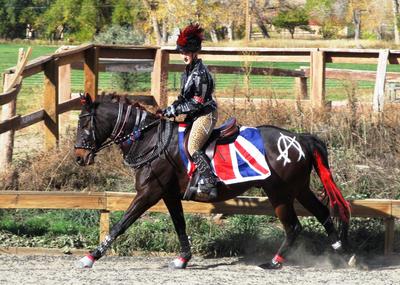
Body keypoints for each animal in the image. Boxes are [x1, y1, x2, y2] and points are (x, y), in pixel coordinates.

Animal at [75, 94, 350, 270]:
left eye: (84, 123)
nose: (79, 157)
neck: (150, 139)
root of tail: (299, 139)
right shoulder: (169, 194)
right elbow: (179, 224)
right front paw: (183, 259)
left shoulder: (149, 192)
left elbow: (121, 224)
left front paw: (91, 256)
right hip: (299, 189)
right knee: (322, 212)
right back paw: (341, 254)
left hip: (280, 193)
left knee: (293, 226)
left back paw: (274, 262)